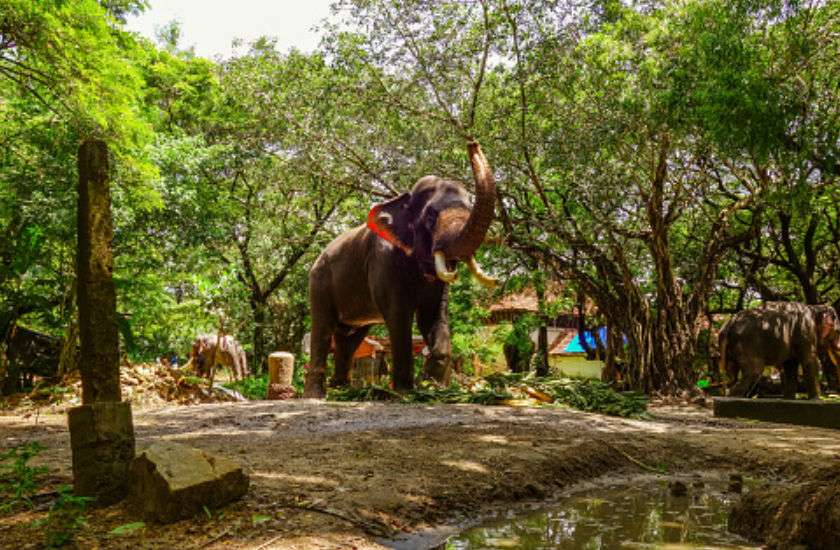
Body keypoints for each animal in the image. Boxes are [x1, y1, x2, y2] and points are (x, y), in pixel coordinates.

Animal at [304, 142, 496, 398]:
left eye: (468, 207)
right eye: (430, 217)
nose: (472, 143)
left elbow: (433, 316)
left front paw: (432, 386)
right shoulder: (383, 261)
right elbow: (398, 315)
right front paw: (406, 392)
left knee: (349, 337)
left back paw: (342, 390)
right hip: (320, 281)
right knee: (323, 328)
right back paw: (317, 395)